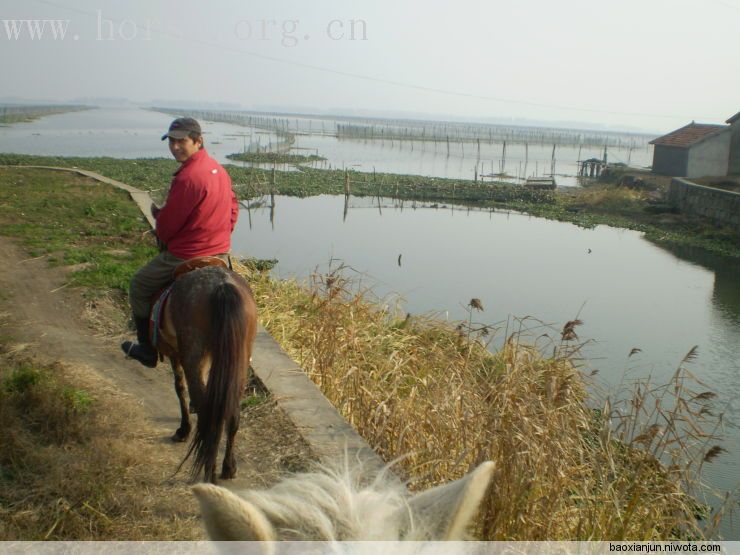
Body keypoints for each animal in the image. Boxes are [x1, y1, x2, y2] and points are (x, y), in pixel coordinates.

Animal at [155, 262, 256, 484]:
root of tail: (222, 286)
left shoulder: (176, 353)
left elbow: (180, 387)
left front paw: (183, 430)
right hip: (240, 360)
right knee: (231, 413)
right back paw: (228, 468)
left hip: (193, 351)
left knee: (207, 411)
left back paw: (209, 471)